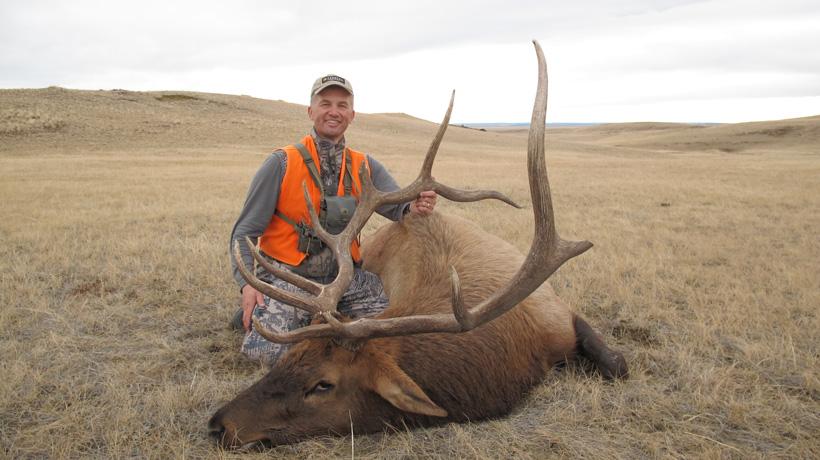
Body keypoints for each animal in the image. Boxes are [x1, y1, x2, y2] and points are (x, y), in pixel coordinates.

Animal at [209, 41, 628, 449]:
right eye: (288, 357)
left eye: (323, 384)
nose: (218, 425)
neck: (517, 353)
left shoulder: (559, 313)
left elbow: (618, 365)